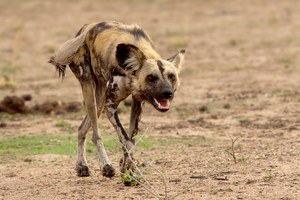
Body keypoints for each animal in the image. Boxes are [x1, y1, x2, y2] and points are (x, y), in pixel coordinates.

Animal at [48, 21, 185, 177]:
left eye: (172, 76)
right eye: (151, 77)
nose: (167, 93)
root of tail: (86, 27)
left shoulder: (137, 103)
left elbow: (131, 138)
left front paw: (127, 166)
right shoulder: (110, 106)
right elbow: (126, 139)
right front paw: (129, 169)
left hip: (100, 99)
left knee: (82, 128)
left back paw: (81, 165)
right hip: (91, 91)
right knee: (96, 135)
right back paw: (105, 165)